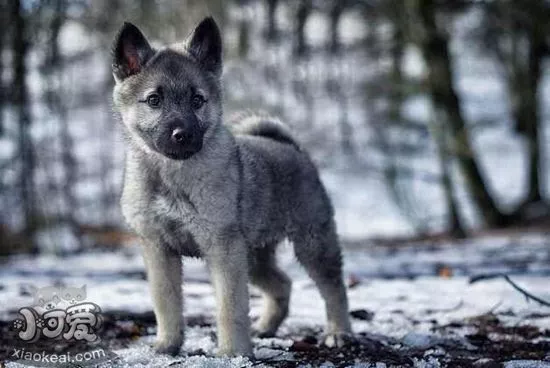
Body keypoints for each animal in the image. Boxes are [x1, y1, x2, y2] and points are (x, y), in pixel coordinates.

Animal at [112, 17, 354, 356]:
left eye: (197, 100)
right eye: (154, 101)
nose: (182, 135)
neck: (171, 175)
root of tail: (292, 147)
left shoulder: (223, 249)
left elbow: (230, 307)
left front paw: (233, 353)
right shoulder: (159, 249)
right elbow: (166, 302)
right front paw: (167, 344)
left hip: (312, 245)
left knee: (334, 289)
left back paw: (338, 332)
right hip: (254, 256)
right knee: (283, 283)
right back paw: (266, 326)